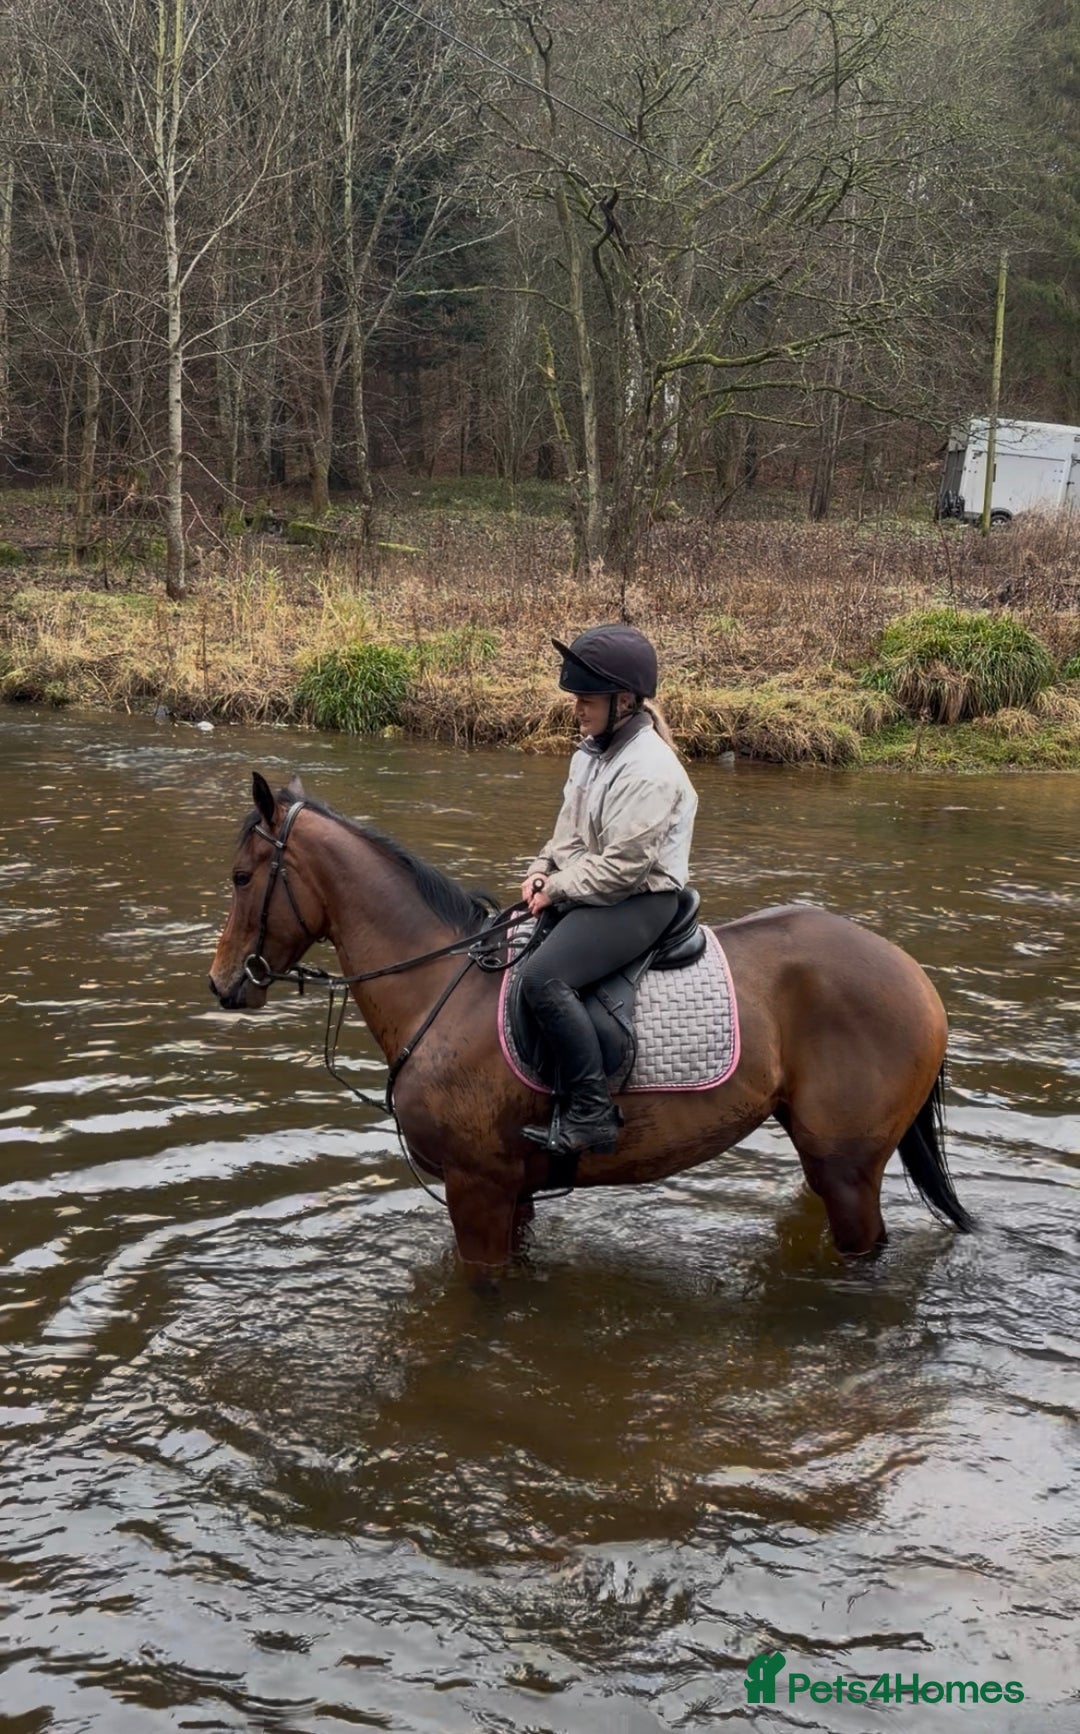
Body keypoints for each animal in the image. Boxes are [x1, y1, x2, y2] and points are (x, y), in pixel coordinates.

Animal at [209, 773, 971, 1273]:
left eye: (243, 877)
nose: (222, 983)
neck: (441, 990)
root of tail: (913, 975)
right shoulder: (510, 1194)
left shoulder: (477, 1188)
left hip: (847, 1169)